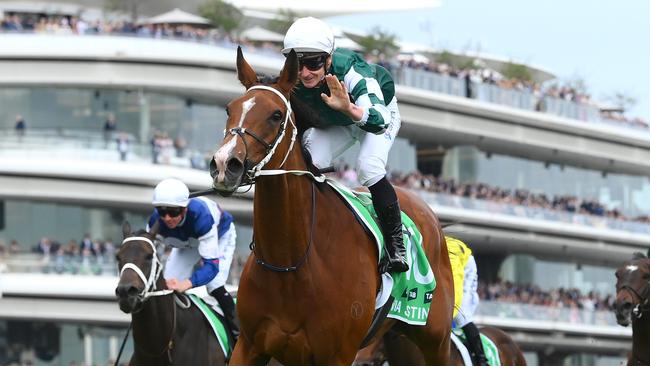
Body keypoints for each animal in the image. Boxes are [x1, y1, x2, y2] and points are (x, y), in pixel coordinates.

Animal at [210, 47, 454, 364]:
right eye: (230, 109)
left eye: (276, 115)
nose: (225, 164)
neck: (291, 262)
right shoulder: (250, 345)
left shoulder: (338, 354)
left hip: (436, 339)